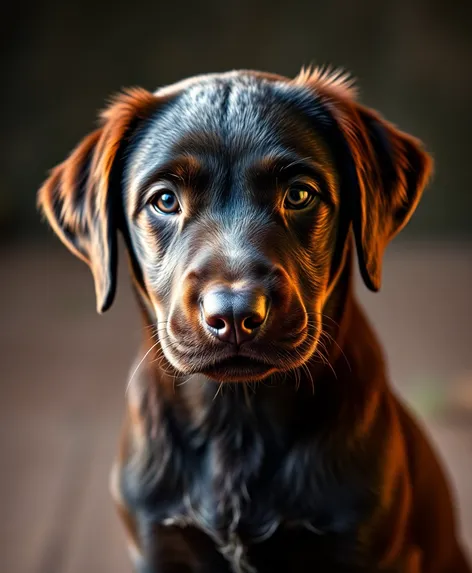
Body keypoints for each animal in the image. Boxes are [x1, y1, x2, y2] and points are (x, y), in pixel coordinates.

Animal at [37, 68, 472, 572]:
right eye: (164, 200)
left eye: (299, 194)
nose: (234, 313)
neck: (237, 422)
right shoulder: (156, 543)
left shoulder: (372, 547)